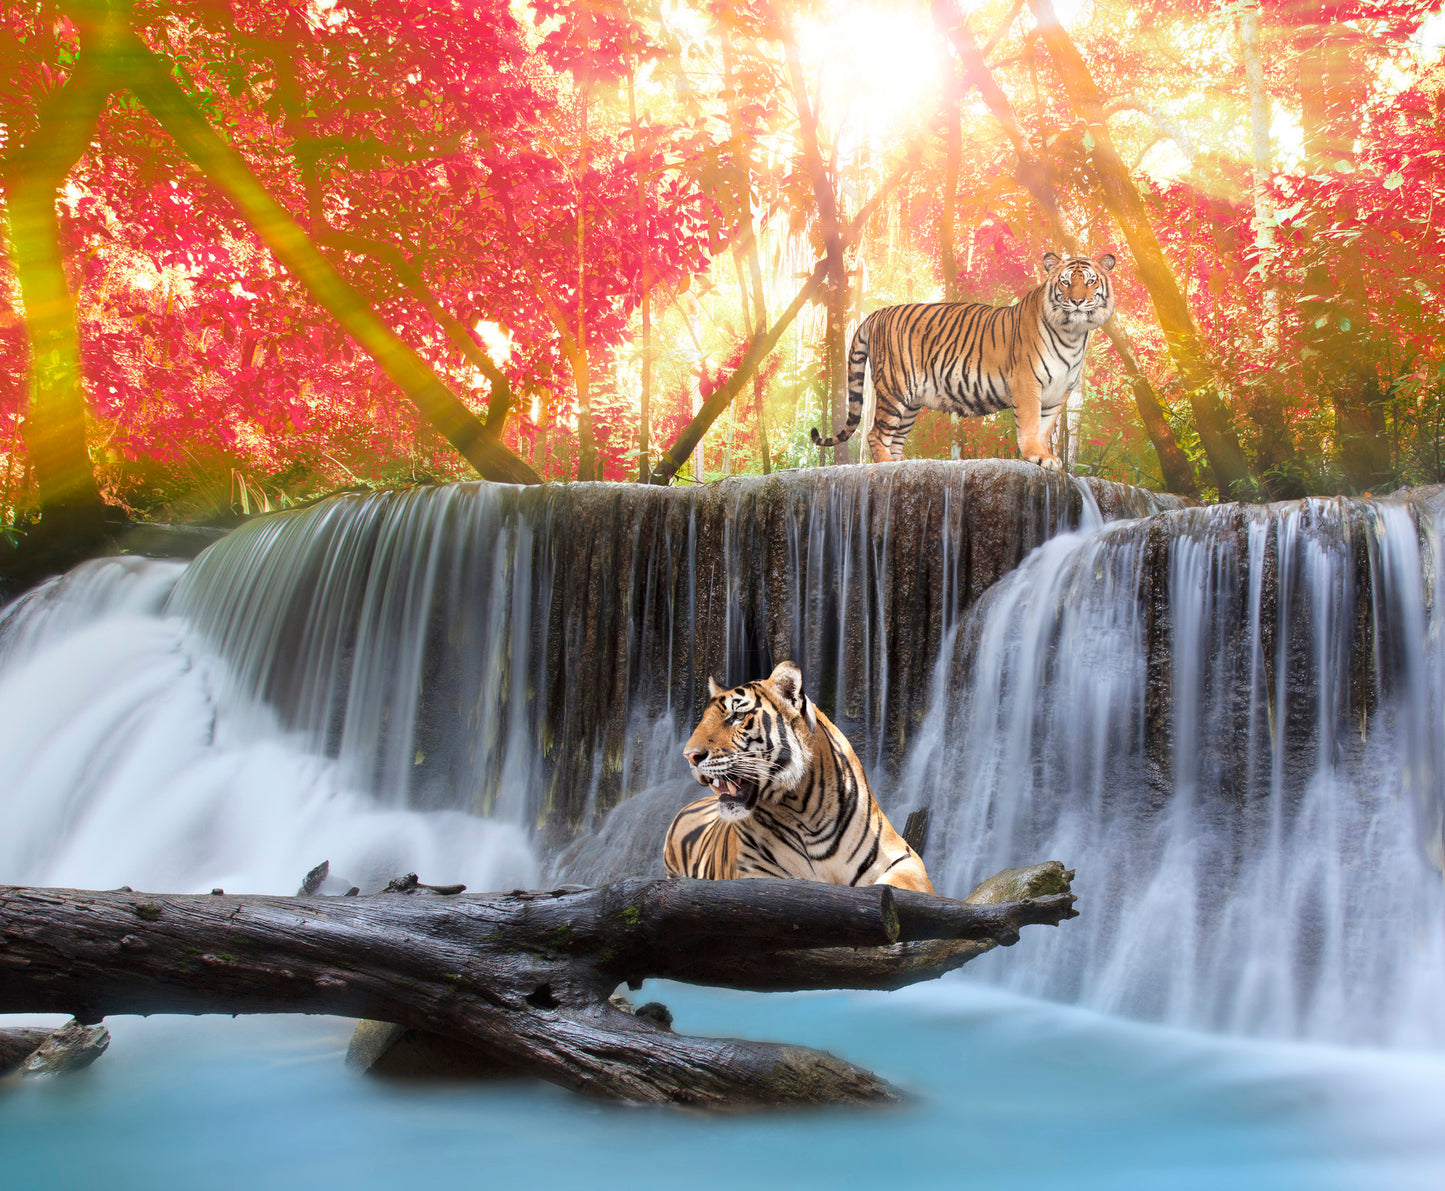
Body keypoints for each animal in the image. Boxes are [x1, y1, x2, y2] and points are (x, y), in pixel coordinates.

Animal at [663, 660, 933, 893]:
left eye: (738, 716)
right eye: (703, 719)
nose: (689, 756)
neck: (806, 813)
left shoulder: (905, 859)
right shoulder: (754, 874)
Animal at [811, 251, 1116, 471]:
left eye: (1090, 281)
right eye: (1065, 281)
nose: (1077, 301)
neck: (1073, 333)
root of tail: (876, 314)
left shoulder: (1059, 392)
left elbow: (1044, 429)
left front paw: (1045, 456)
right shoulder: (1027, 383)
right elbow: (1030, 425)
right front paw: (1036, 456)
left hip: (911, 402)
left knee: (894, 439)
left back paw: (903, 465)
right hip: (895, 389)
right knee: (875, 433)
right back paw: (887, 467)